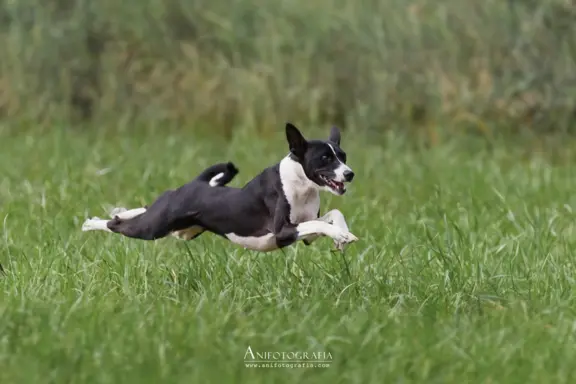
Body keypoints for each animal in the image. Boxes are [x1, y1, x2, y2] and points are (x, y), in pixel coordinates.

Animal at [81, 123, 358, 252]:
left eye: (343, 156)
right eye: (325, 158)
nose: (350, 173)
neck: (301, 186)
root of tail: (196, 183)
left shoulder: (306, 235)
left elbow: (330, 216)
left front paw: (343, 235)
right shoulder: (282, 232)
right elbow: (319, 223)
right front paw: (342, 235)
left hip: (180, 229)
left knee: (143, 208)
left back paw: (116, 212)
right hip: (153, 227)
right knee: (116, 225)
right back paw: (91, 223)